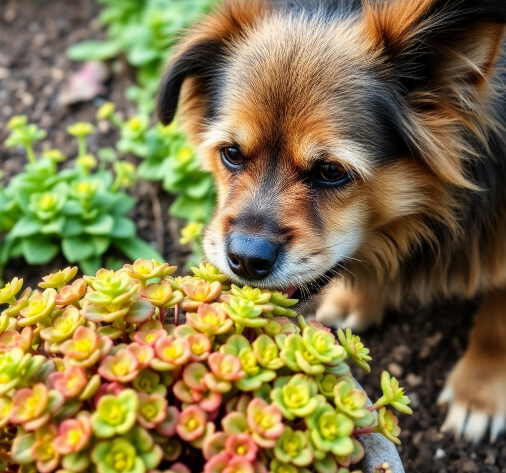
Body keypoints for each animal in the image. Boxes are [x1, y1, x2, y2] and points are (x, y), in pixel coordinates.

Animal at [158, 0, 506, 442]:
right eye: (231, 153)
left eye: (330, 171)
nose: (246, 260)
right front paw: (355, 300)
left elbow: (497, 325)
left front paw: (478, 392)